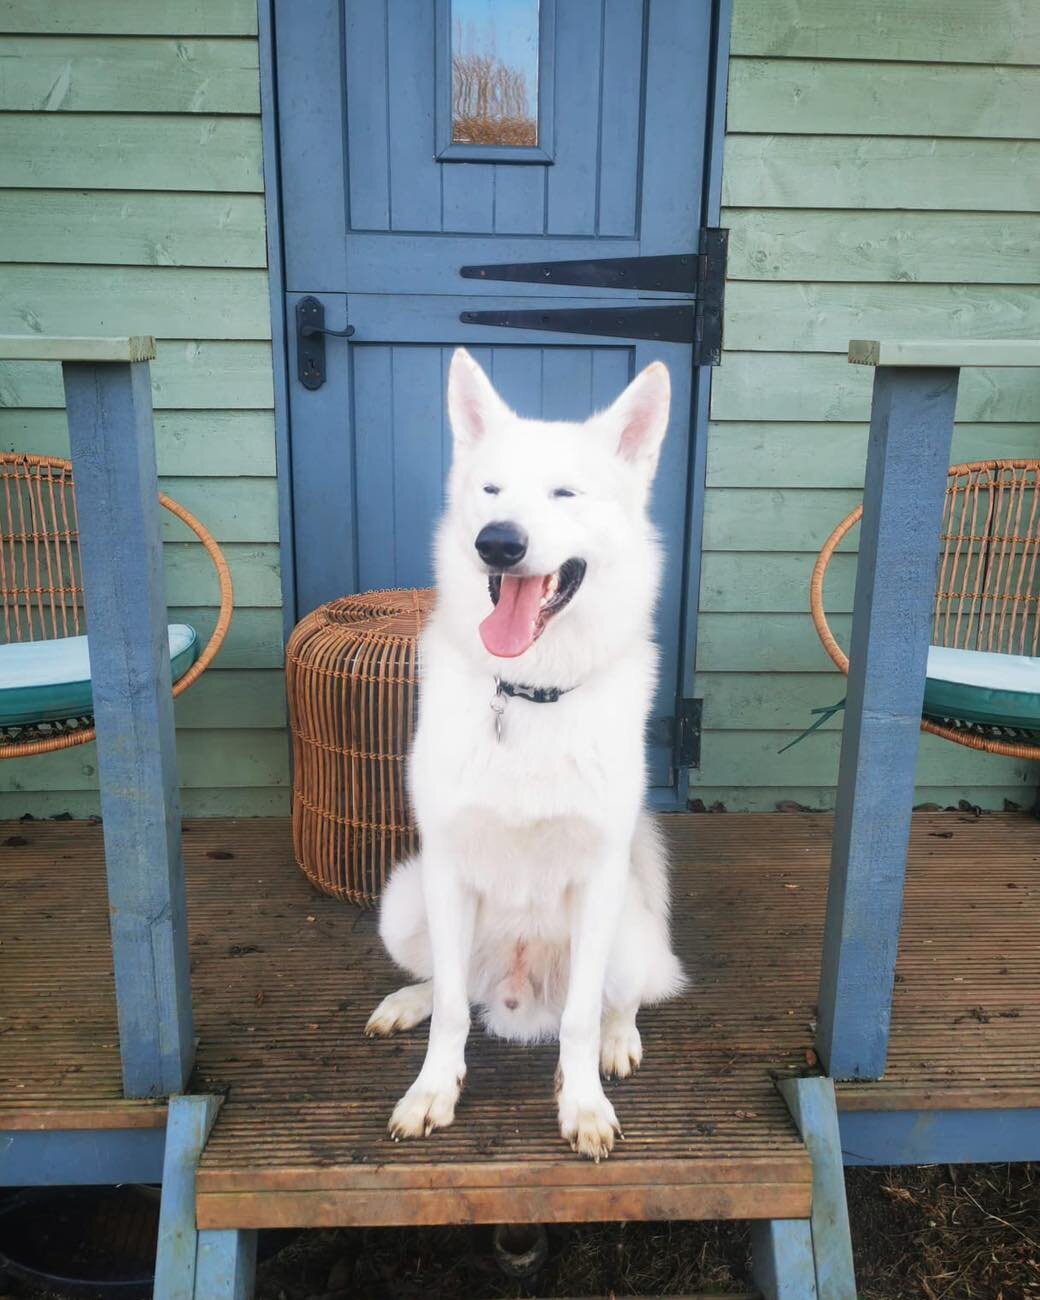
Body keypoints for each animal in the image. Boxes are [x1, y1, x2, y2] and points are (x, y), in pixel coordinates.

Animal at [364, 345, 681, 1159]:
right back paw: (409, 1000)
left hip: (628, 930)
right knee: (455, 991)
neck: (533, 693)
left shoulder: (598, 880)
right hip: (401, 902)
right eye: (491, 491)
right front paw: (432, 1090)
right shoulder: (444, 869)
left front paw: (584, 1104)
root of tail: (516, 999)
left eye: (565, 492)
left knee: (620, 997)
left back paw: (616, 1041)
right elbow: (450, 1010)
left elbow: (579, 1020)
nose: (498, 542)